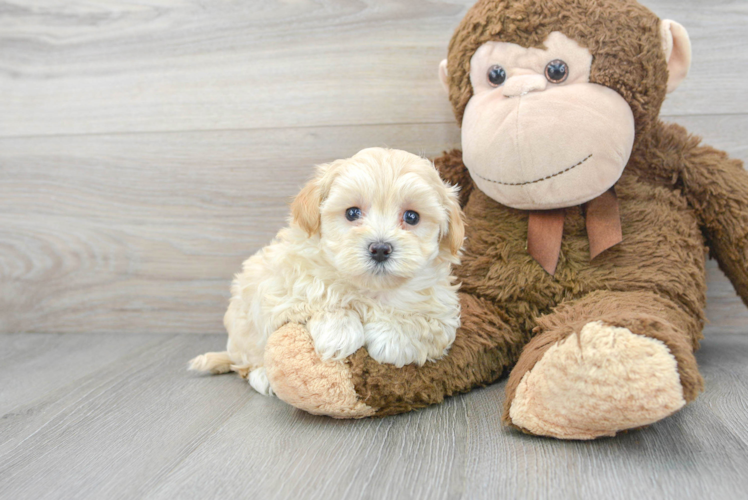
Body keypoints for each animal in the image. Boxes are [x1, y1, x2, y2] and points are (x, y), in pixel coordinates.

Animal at [190, 146, 464, 396]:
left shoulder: (443, 311)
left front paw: (391, 339)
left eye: (412, 217)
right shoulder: (283, 289)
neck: (370, 289)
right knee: (246, 362)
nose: (380, 249)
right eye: (352, 212)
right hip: (244, 322)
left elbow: (424, 324)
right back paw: (262, 376)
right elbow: (319, 299)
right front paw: (339, 332)